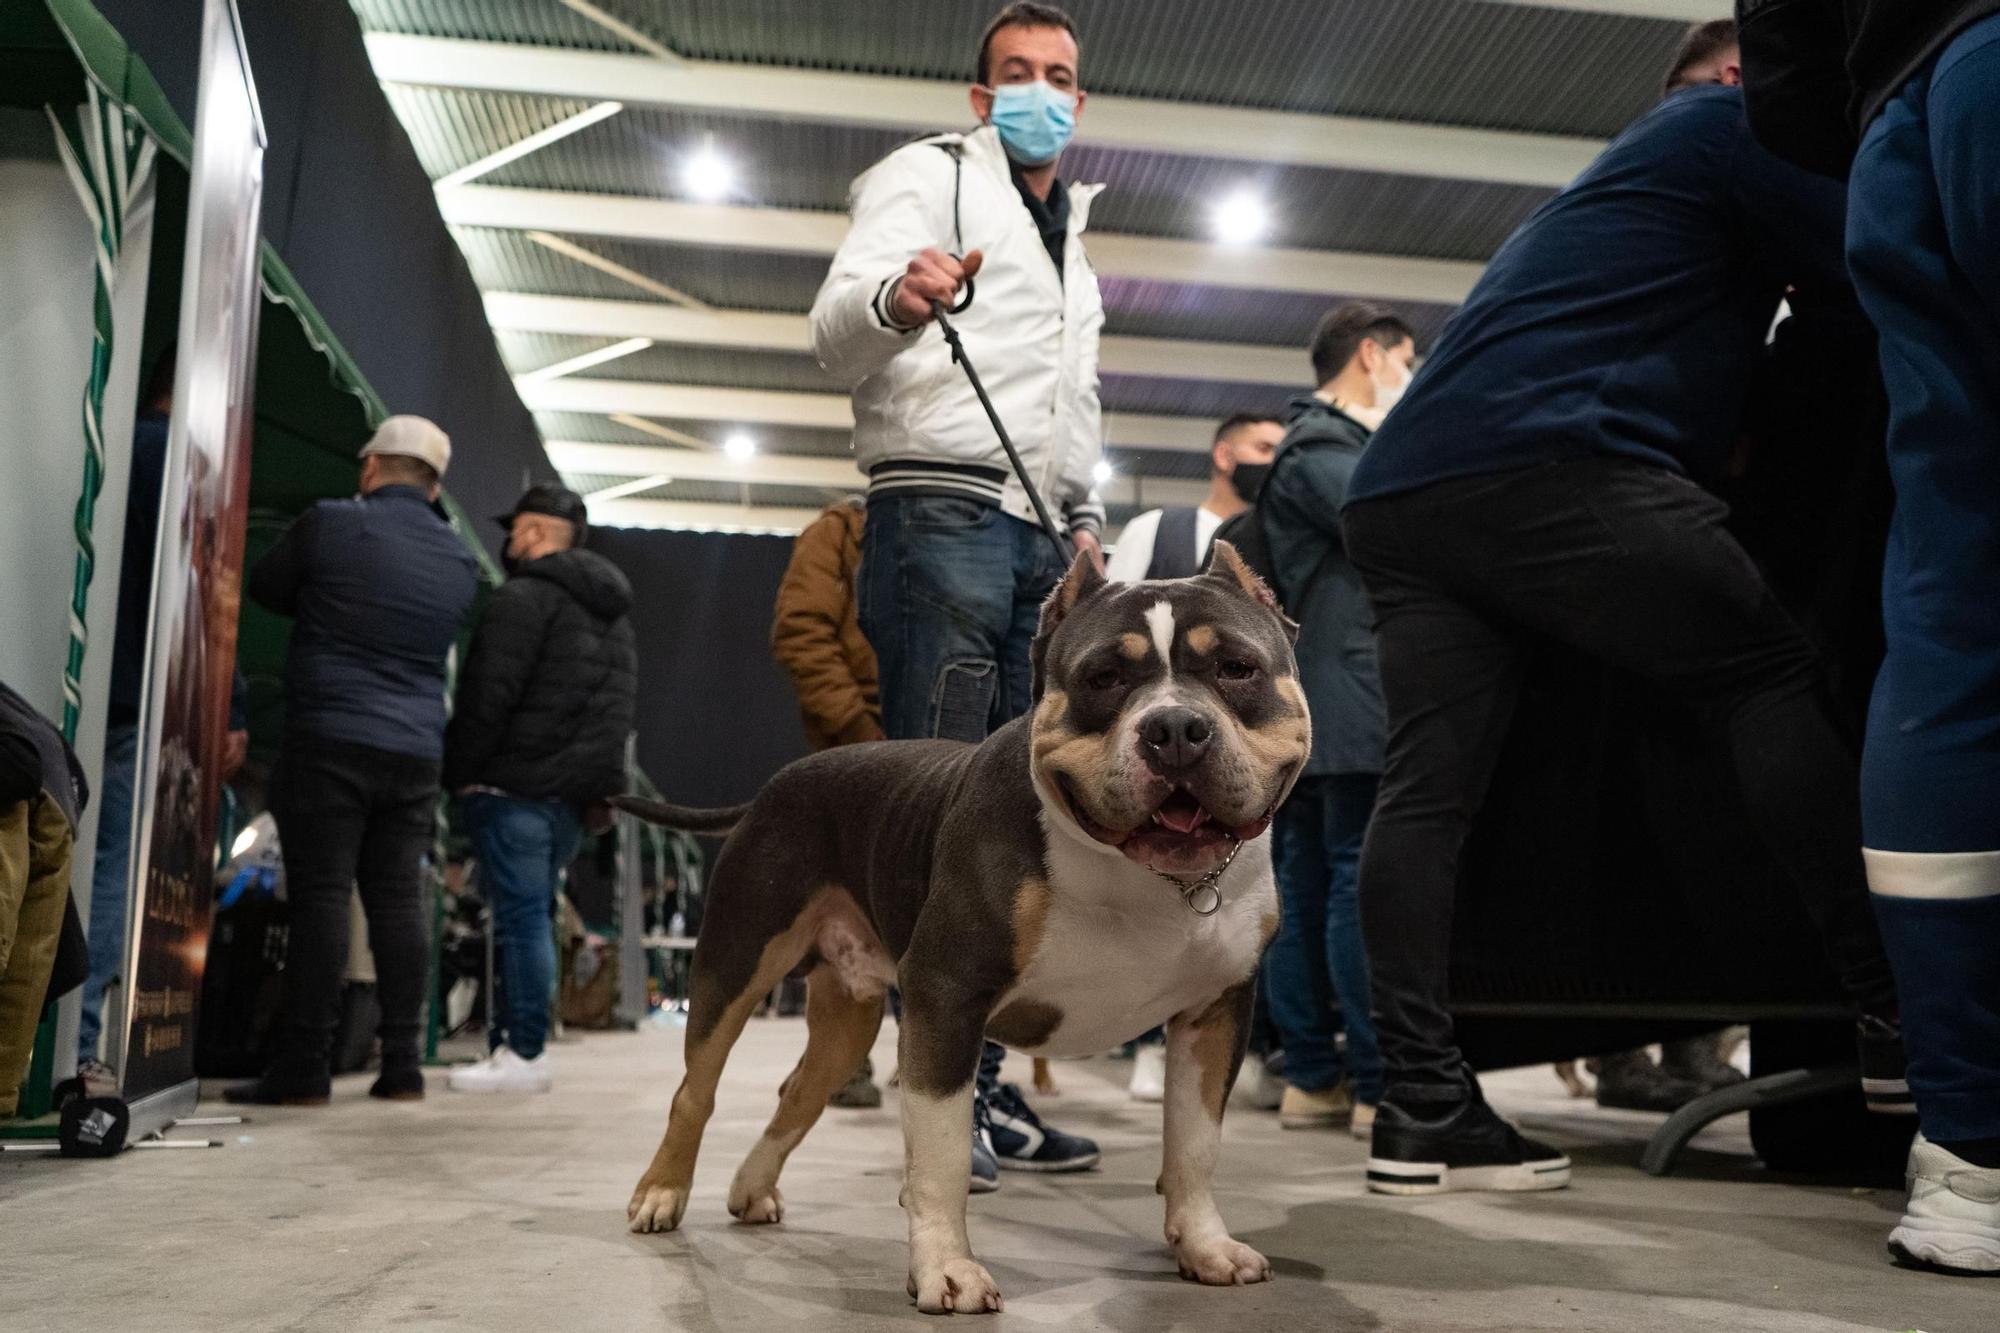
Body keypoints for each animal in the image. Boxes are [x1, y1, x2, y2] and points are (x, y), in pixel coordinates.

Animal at [616, 544, 1312, 1312]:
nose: (1176, 729)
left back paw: (750, 1187)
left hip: (849, 1017)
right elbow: (942, 1153)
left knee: (799, 1091)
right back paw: (661, 1193)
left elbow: (1195, 1143)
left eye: (1237, 669)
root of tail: (774, 785)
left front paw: (1205, 1245)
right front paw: (946, 1269)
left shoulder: (1215, 1014)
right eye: (1103, 678)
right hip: (734, 962)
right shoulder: (946, 999)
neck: (1146, 876)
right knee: (696, 1089)